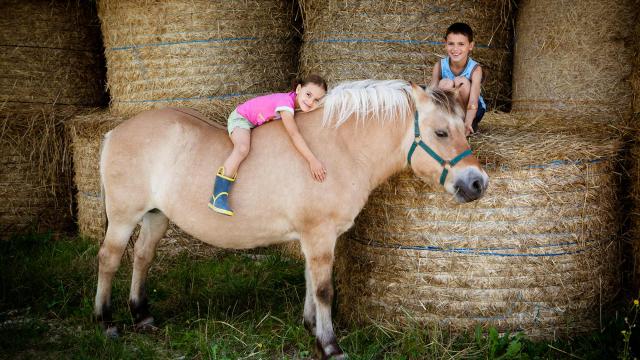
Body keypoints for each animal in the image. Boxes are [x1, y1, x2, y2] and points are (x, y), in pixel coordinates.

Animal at [92, 80, 488, 358]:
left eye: (464, 129)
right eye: (441, 132)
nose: (477, 182)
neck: (337, 150)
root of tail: (114, 132)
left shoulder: (315, 237)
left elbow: (312, 282)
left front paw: (312, 327)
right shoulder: (319, 234)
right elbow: (325, 289)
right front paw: (330, 345)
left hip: (156, 216)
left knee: (143, 257)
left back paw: (141, 315)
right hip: (124, 217)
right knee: (109, 259)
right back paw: (105, 321)